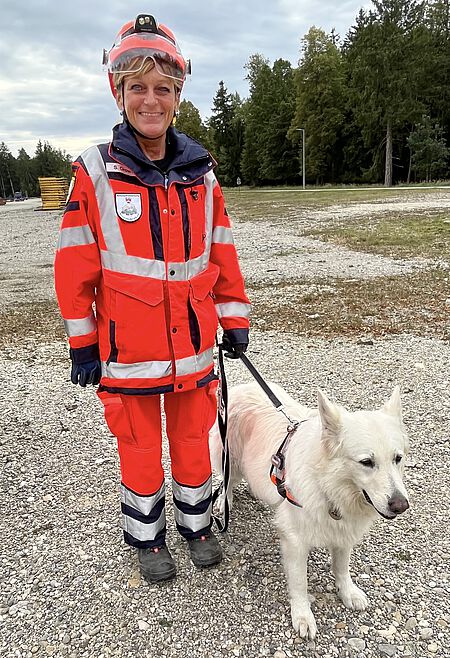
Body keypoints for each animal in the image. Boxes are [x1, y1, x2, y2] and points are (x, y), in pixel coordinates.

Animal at [209, 382, 410, 640]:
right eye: (366, 462)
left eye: (398, 458)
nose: (401, 505)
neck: (327, 484)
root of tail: (243, 386)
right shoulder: (295, 540)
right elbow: (300, 583)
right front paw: (303, 615)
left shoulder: (343, 532)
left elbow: (342, 567)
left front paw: (347, 592)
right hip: (229, 460)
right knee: (227, 481)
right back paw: (224, 501)